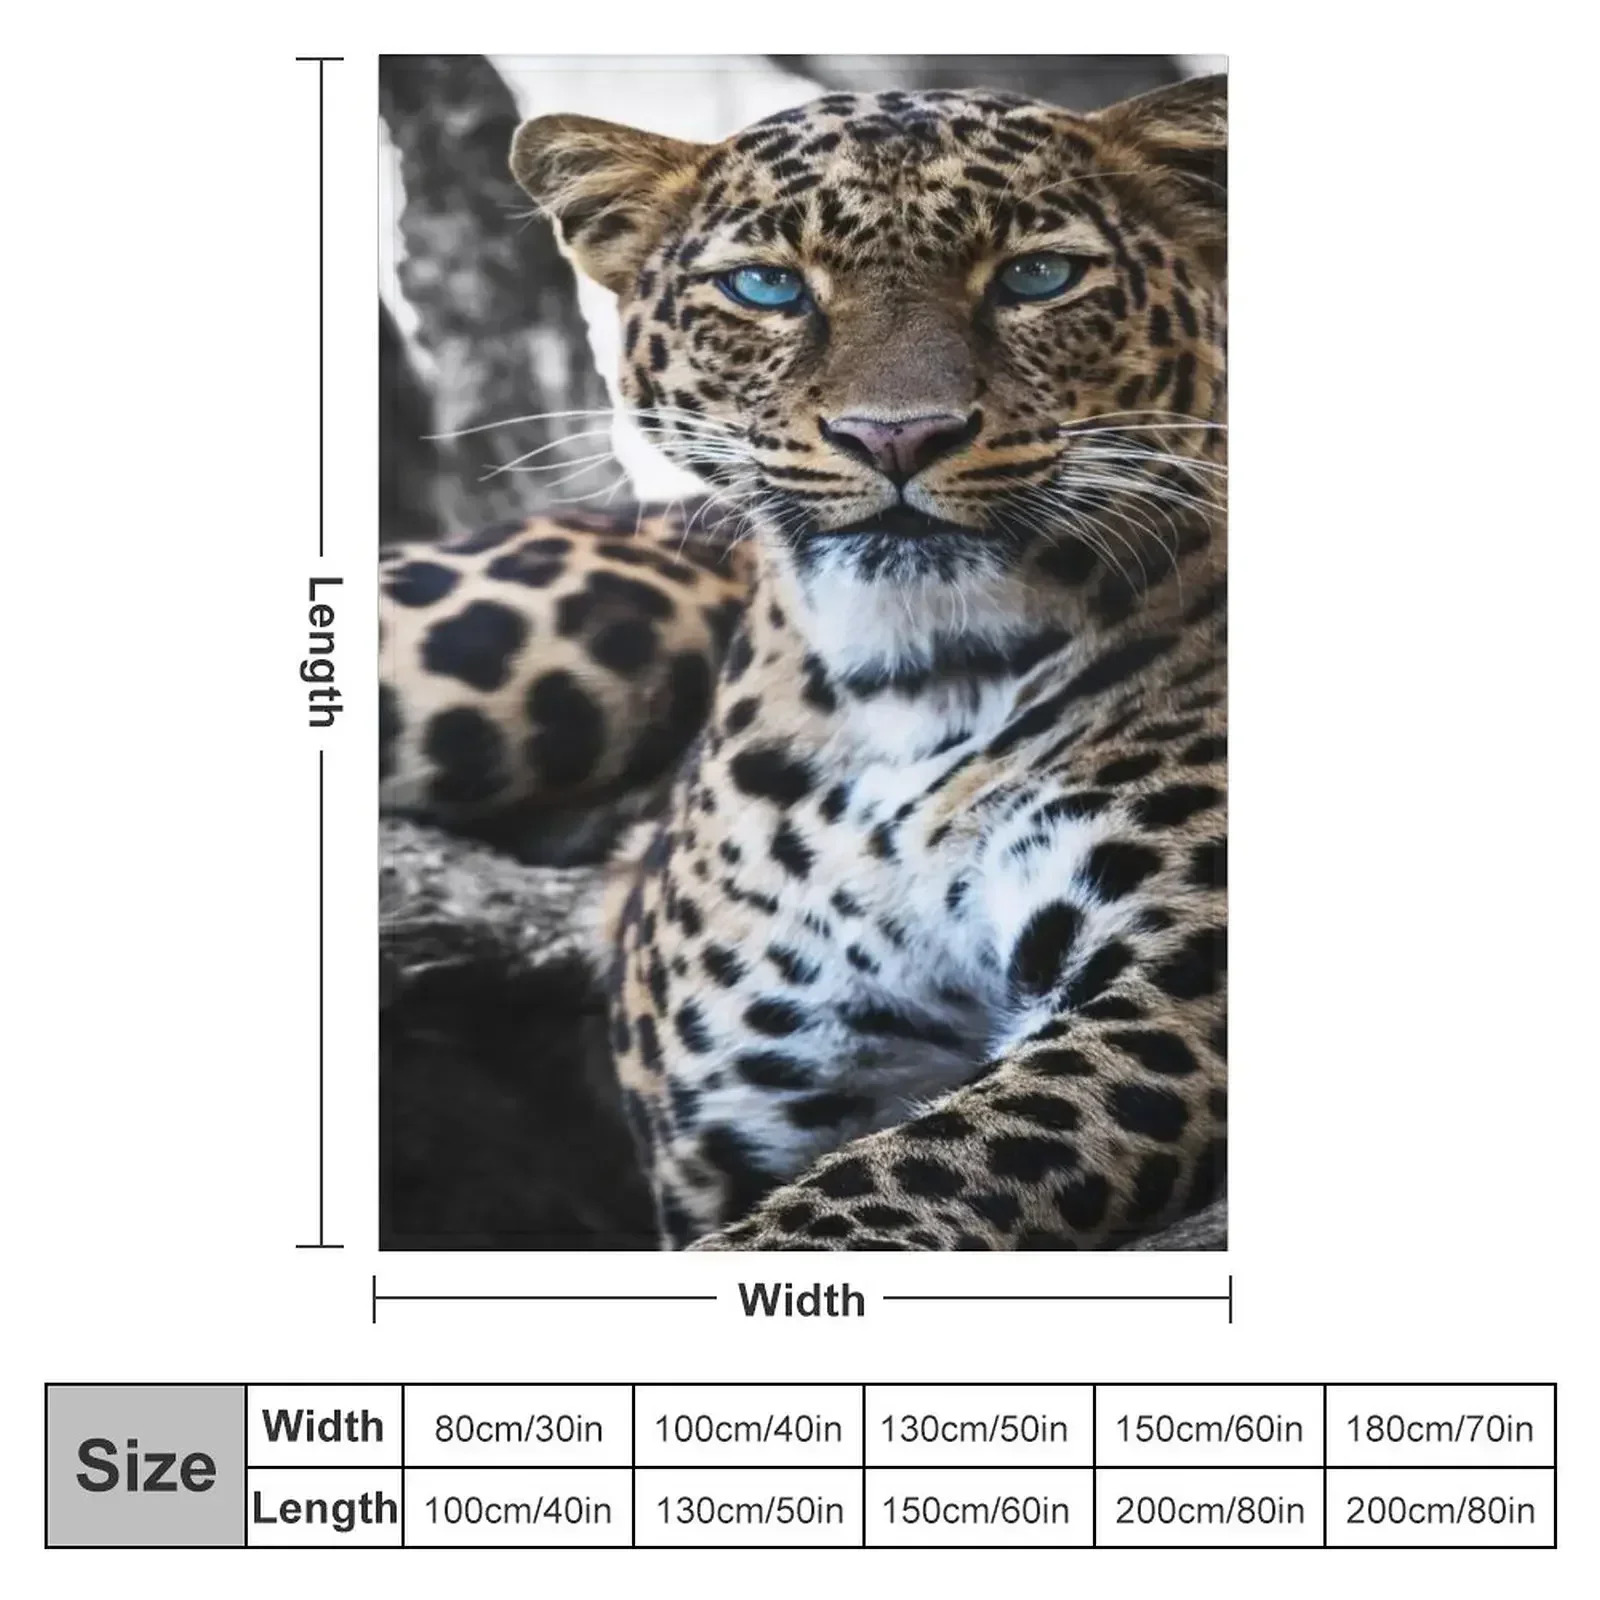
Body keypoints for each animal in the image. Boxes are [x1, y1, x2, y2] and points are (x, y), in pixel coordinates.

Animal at [382, 73, 1227, 1250]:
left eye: (1036, 275)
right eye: (769, 287)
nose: (896, 436)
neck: (915, 677)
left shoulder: (1173, 992)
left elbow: (893, 1181)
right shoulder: (756, 1103)